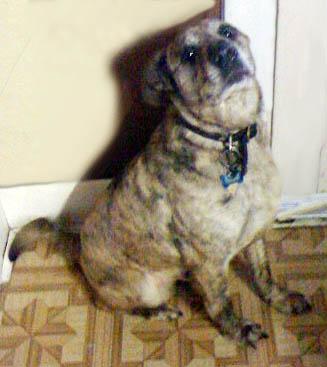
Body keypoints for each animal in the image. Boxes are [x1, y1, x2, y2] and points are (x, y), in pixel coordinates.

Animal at [9, 19, 312, 348]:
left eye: (227, 31)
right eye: (189, 54)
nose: (225, 53)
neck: (228, 138)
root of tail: (77, 247)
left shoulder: (255, 234)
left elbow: (263, 274)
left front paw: (280, 299)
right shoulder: (209, 260)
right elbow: (220, 301)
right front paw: (238, 330)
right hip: (145, 286)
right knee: (111, 305)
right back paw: (159, 310)